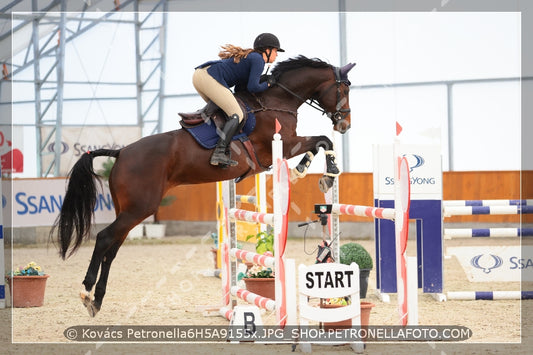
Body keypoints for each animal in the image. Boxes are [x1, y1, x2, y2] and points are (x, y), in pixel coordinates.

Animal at [53, 55, 354, 318]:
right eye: (345, 88)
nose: (345, 124)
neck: (276, 100)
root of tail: (121, 152)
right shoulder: (283, 143)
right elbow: (321, 140)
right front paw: (321, 173)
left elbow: (320, 141)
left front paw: (317, 172)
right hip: (140, 207)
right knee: (105, 239)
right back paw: (86, 291)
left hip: (129, 209)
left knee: (113, 248)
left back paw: (97, 300)